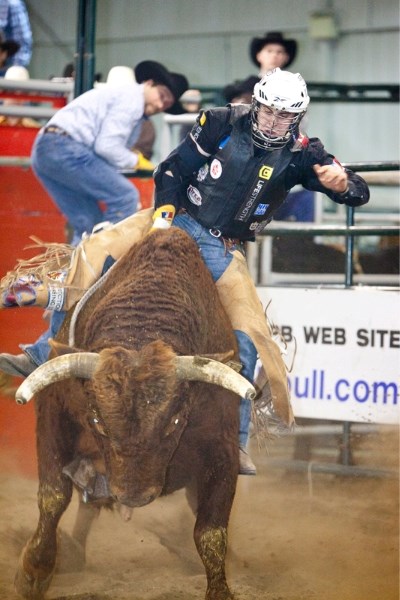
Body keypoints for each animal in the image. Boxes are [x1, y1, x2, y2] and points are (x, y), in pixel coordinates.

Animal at [14, 226, 256, 600]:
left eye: (174, 422)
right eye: (97, 421)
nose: (134, 496)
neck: (142, 328)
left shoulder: (222, 445)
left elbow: (210, 531)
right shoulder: (54, 409)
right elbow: (53, 496)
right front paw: (33, 573)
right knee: (86, 503)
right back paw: (74, 552)